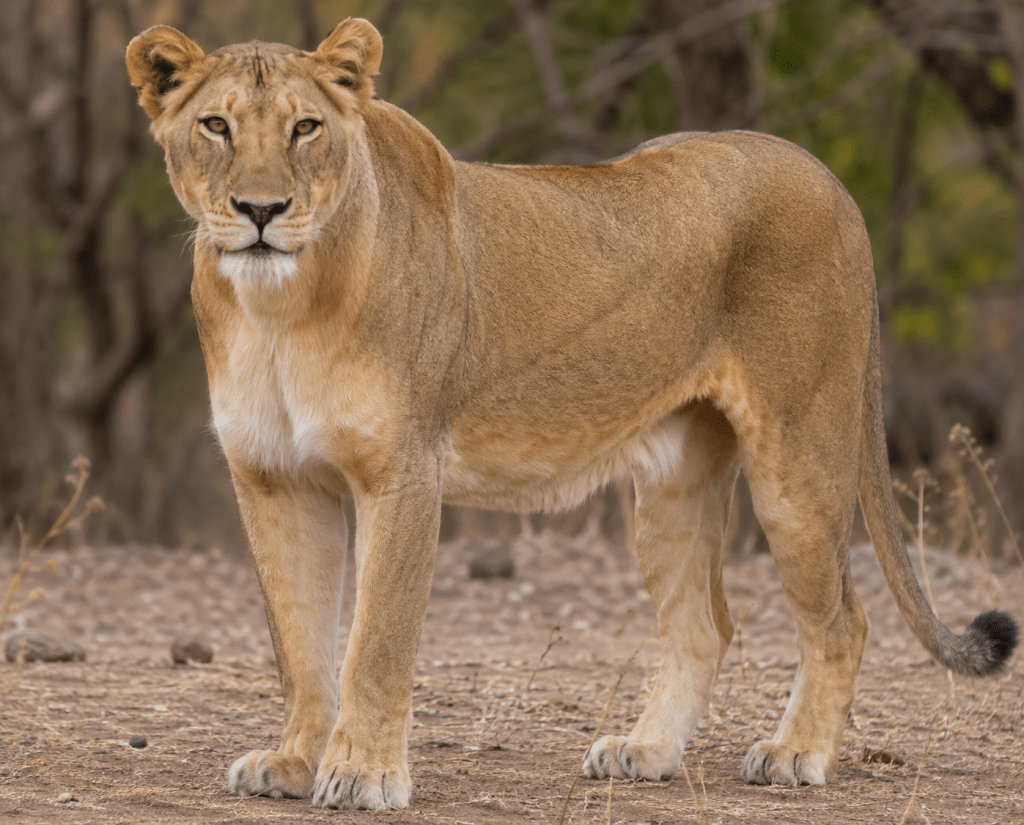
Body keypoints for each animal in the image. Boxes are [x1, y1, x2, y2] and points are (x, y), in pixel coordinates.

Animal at [126, 18, 1017, 811]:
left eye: (306, 127)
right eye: (216, 125)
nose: (261, 211)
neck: (278, 309)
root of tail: (825, 174)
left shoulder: (403, 472)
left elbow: (374, 640)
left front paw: (365, 775)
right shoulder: (273, 478)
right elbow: (300, 642)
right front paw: (293, 761)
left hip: (798, 461)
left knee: (843, 620)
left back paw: (795, 753)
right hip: (674, 481)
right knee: (707, 624)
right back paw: (646, 751)